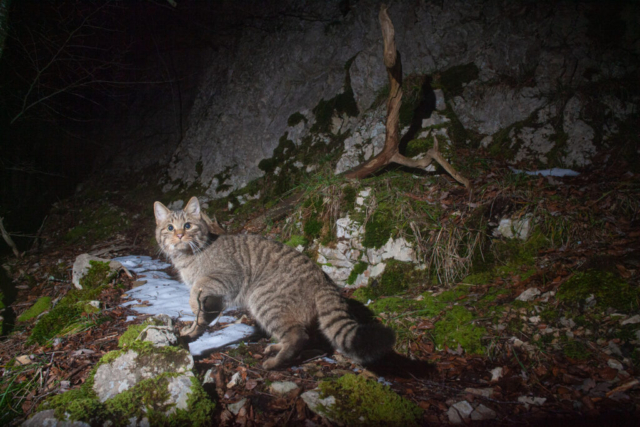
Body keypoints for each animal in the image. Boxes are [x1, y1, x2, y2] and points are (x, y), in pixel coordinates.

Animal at [155, 197, 396, 368]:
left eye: (187, 225)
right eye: (170, 228)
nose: (179, 235)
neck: (189, 256)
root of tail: (322, 279)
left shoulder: (228, 279)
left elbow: (198, 288)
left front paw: (192, 307)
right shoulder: (215, 299)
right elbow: (202, 318)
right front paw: (191, 331)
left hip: (263, 298)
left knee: (298, 336)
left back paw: (276, 362)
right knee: (293, 334)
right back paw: (277, 348)